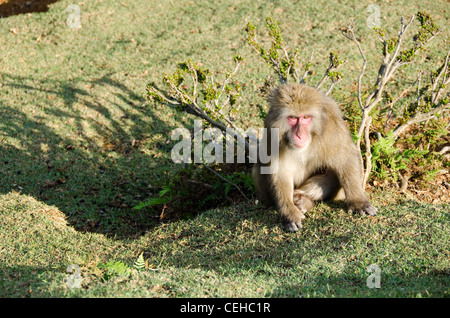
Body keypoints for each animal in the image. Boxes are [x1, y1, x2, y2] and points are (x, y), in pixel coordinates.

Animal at [253, 83, 376, 232]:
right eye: (293, 118)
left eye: (306, 118)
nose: (299, 135)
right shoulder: (273, 132)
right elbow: (279, 171)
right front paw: (289, 213)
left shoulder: (331, 128)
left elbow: (345, 159)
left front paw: (358, 202)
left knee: (332, 172)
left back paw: (302, 200)